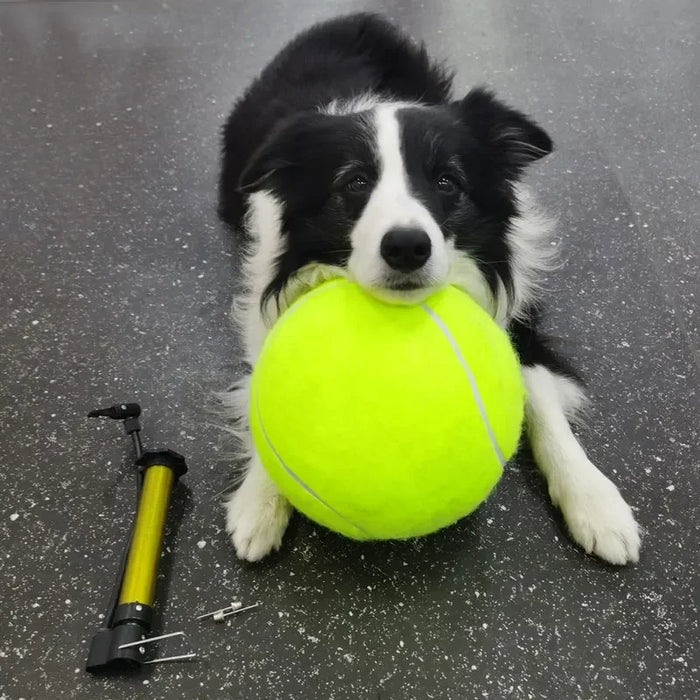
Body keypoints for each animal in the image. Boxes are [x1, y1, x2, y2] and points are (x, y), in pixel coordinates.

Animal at [217, 13, 640, 568]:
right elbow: (261, 394)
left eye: (447, 182)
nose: (406, 247)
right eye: (353, 183)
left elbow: (543, 403)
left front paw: (596, 503)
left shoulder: (518, 318)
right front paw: (260, 500)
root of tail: (351, 19)